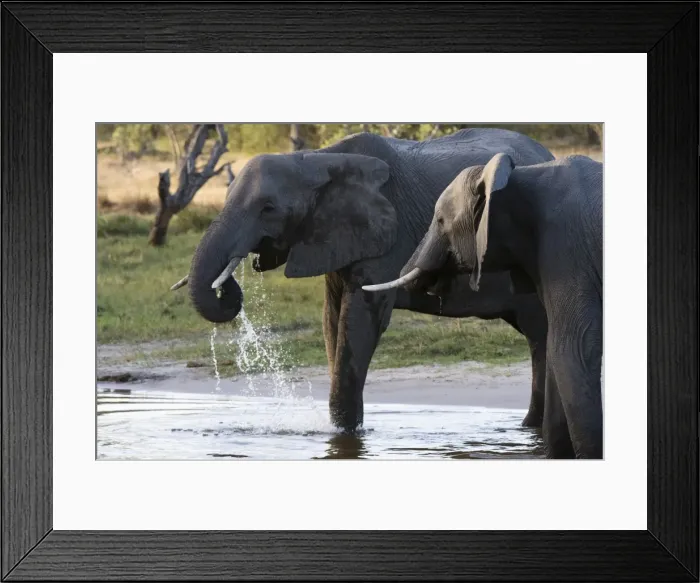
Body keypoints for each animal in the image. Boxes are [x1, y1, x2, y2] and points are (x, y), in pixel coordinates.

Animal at [171, 129, 554, 433]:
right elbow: (331, 320)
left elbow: (360, 321)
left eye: (268, 209)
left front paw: (345, 434)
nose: (230, 285)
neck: (317, 160)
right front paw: (342, 432)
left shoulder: (386, 234)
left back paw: (532, 428)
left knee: (540, 333)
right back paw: (529, 428)